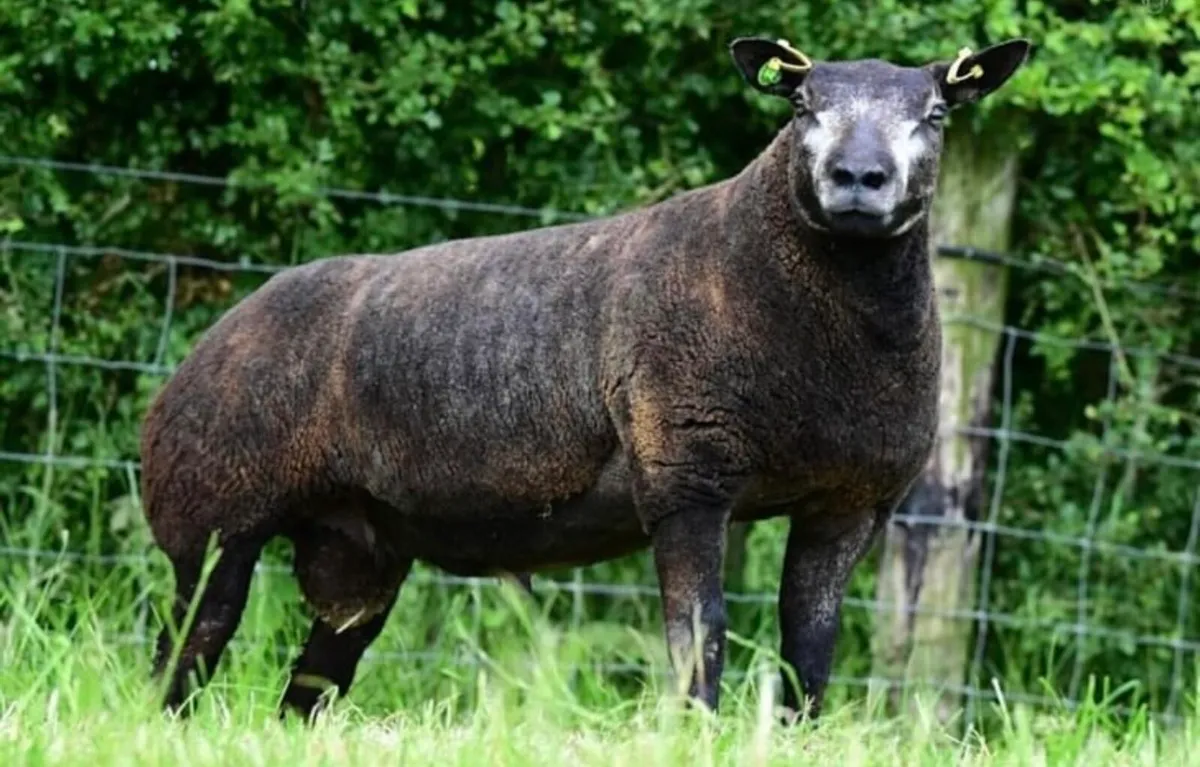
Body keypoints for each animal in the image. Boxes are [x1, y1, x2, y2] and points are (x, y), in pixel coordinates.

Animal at [140, 36, 1031, 722]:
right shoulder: (685, 472)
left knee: (308, 688)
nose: (857, 178)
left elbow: (809, 652)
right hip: (214, 514)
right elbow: (699, 638)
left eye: (937, 113)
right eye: (801, 105)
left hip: (357, 553)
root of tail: (204, 346)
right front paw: (696, 732)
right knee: (186, 650)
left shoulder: (850, 501)